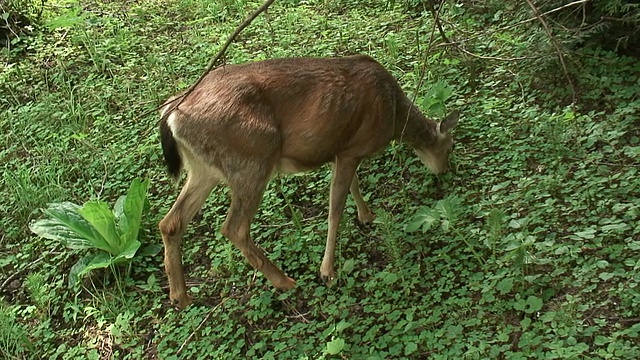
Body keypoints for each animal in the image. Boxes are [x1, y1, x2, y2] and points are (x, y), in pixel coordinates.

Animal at [160, 54, 460, 308]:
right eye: (450, 147)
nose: (445, 171)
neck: (395, 114)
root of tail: (171, 114)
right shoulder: (352, 149)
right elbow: (335, 208)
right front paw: (327, 272)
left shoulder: (338, 149)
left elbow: (352, 185)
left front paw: (367, 216)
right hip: (252, 159)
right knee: (234, 228)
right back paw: (284, 281)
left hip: (202, 168)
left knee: (171, 222)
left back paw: (180, 297)